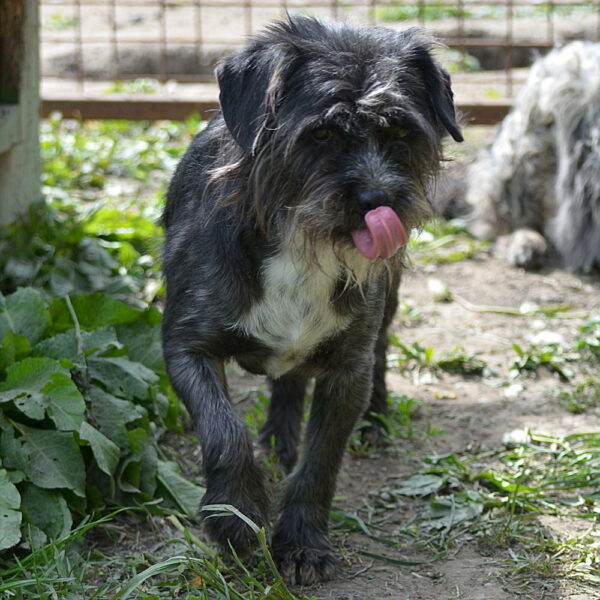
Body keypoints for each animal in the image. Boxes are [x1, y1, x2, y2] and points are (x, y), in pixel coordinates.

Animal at [159, 16, 460, 584]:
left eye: (400, 132)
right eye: (321, 133)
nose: (379, 200)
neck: (301, 246)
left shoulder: (347, 370)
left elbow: (321, 462)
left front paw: (301, 544)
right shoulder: (187, 348)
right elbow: (224, 431)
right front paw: (235, 518)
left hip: (386, 306)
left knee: (378, 353)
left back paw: (375, 420)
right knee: (287, 381)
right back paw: (278, 435)